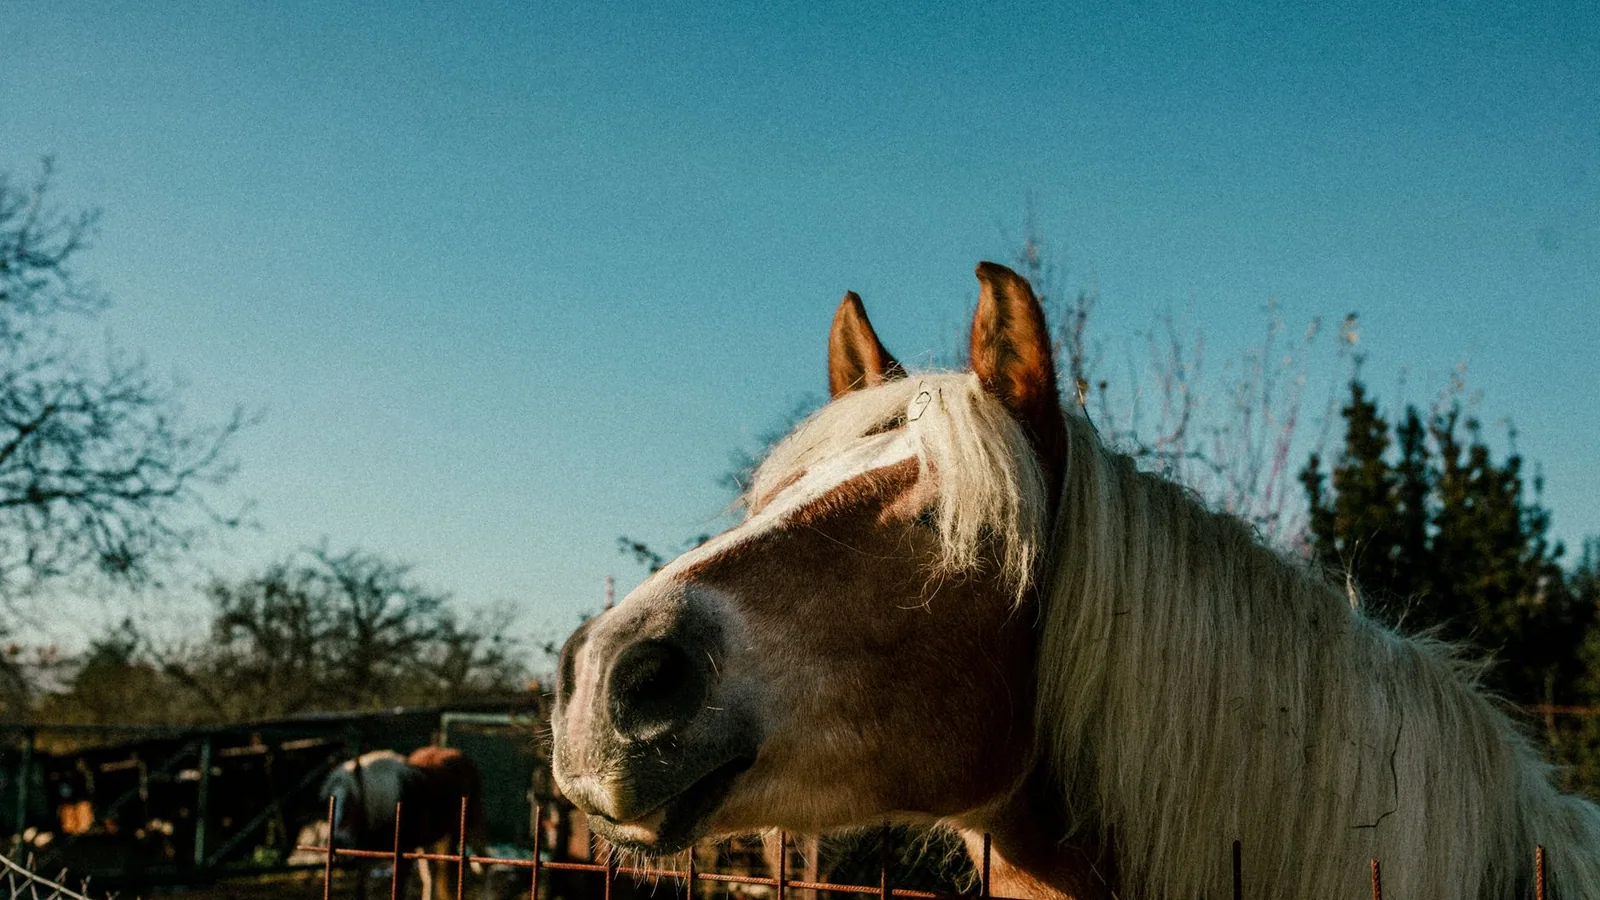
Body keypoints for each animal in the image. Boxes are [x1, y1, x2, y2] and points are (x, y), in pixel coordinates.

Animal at [323, 747, 486, 900]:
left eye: (352, 801)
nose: (336, 841)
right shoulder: (365, 861)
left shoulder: (403, 857)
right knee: (431, 874)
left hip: (472, 826)